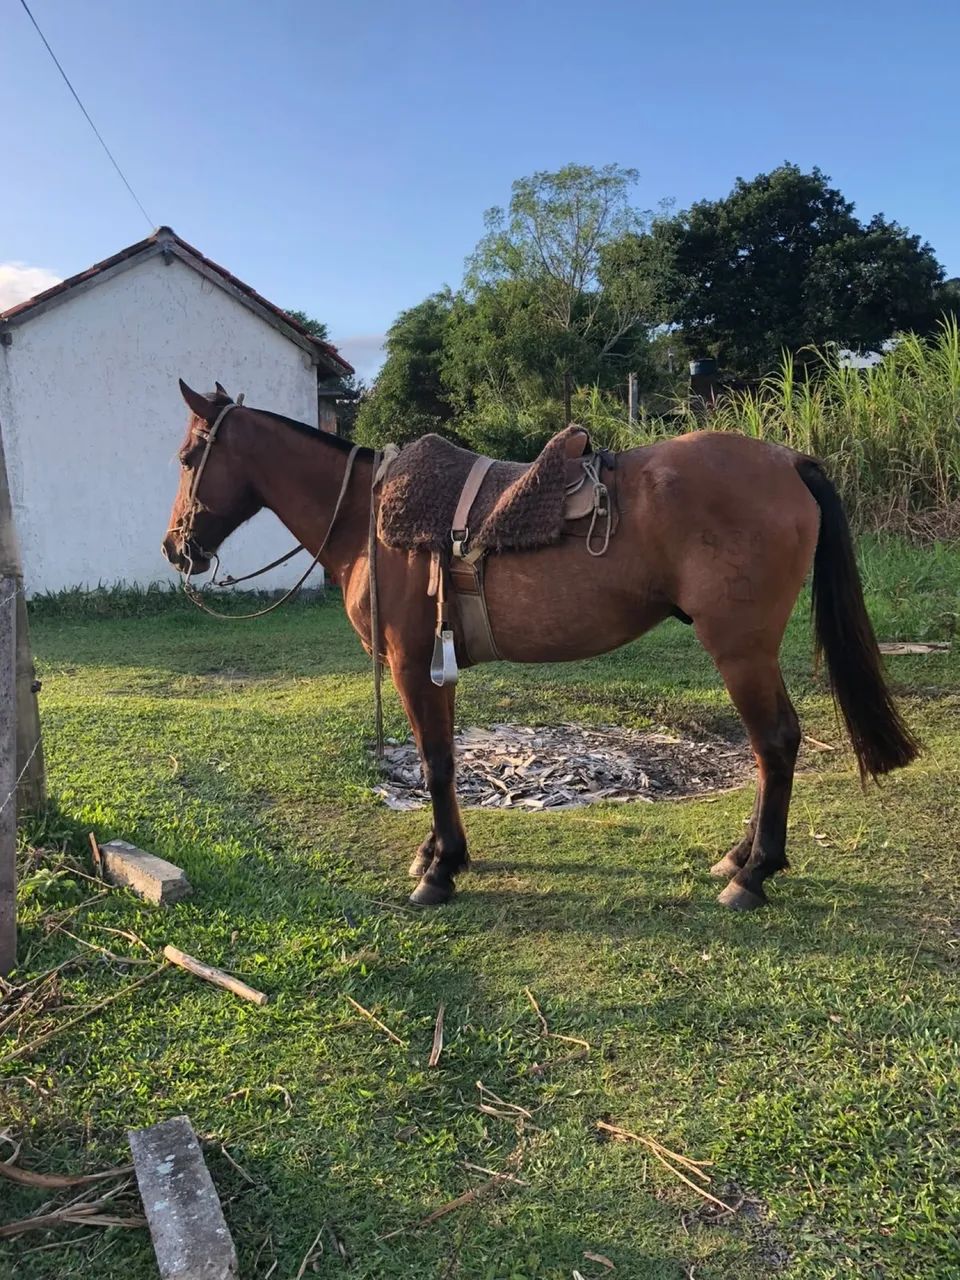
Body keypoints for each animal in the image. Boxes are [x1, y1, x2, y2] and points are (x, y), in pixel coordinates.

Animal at [162, 381, 918, 912]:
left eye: (189, 456)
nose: (176, 547)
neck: (368, 521)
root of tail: (788, 461)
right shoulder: (435, 665)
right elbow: (441, 760)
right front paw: (439, 853)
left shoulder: (411, 663)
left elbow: (436, 763)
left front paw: (440, 871)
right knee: (769, 750)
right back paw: (739, 858)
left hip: (741, 648)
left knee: (776, 743)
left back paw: (754, 874)